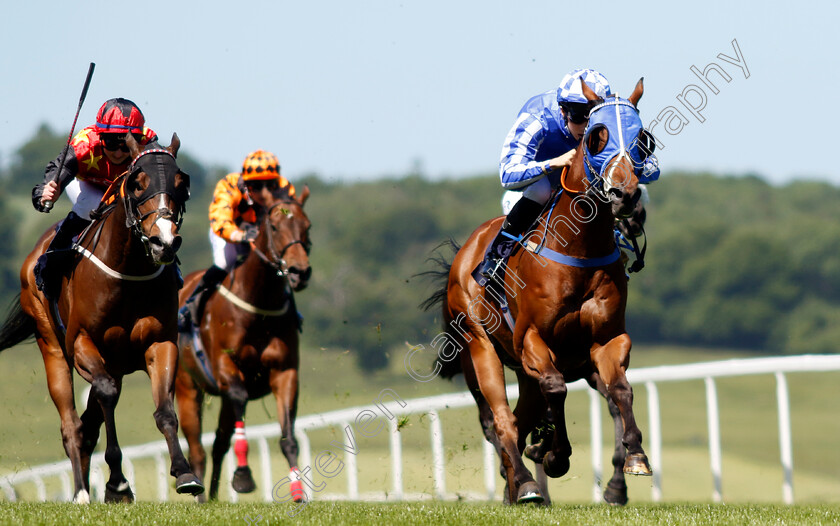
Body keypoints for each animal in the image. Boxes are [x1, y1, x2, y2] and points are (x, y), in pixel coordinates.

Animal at [0, 134, 200, 506]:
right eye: (137, 183)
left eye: (182, 183)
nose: (164, 242)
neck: (127, 271)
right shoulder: (82, 343)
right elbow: (106, 396)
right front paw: (118, 483)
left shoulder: (160, 342)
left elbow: (165, 410)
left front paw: (185, 473)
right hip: (53, 346)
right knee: (71, 423)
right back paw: (81, 490)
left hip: (114, 362)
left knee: (88, 422)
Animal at [175, 189, 312, 504]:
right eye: (274, 226)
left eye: (307, 226)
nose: (299, 271)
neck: (258, 305)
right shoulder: (226, 369)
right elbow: (239, 401)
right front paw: (243, 477)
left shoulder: (285, 372)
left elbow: (288, 438)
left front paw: (298, 492)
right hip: (186, 388)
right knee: (198, 450)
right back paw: (201, 496)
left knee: (217, 444)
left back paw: (213, 496)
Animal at [426, 79, 656, 508]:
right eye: (598, 136)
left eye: (643, 140)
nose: (626, 196)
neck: (580, 249)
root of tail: (464, 253)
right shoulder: (532, 338)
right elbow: (555, 389)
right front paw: (554, 454)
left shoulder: (607, 339)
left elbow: (620, 390)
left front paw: (634, 457)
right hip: (479, 350)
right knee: (500, 420)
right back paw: (525, 482)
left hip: (523, 368)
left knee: (521, 417)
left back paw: (518, 483)